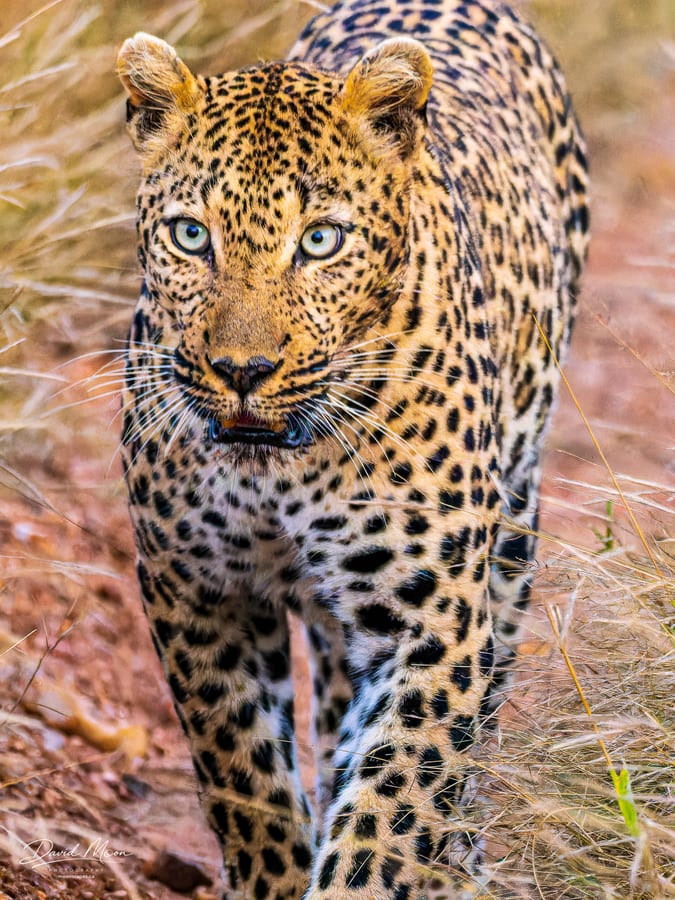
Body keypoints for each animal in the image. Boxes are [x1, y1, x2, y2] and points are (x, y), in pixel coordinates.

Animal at [116, 0, 588, 896]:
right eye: (191, 236)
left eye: (320, 241)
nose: (242, 371)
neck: (274, 468)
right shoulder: (194, 589)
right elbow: (245, 778)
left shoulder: (429, 621)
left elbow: (391, 807)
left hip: (510, 540)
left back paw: (459, 857)